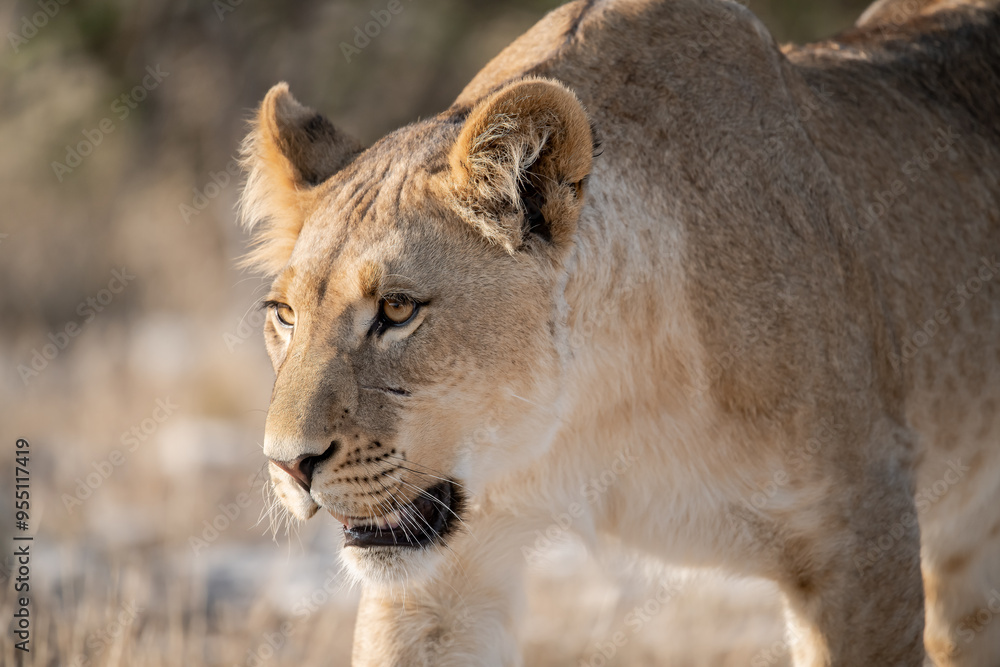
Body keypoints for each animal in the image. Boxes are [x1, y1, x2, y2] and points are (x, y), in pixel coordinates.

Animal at [238, 0, 1000, 664]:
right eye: (285, 315)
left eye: (397, 310)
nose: (287, 464)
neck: (595, 415)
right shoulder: (442, 577)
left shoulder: (862, 532)